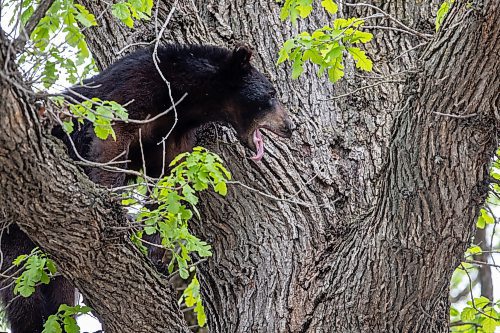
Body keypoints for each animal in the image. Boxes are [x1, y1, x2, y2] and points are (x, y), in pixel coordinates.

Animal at [0, 44, 294, 332]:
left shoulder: (173, 137)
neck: (183, 98)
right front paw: (112, 206)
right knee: (19, 290)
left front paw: (157, 257)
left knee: (58, 288)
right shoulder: (135, 89)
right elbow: (112, 140)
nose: (291, 126)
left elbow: (167, 189)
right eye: (272, 93)